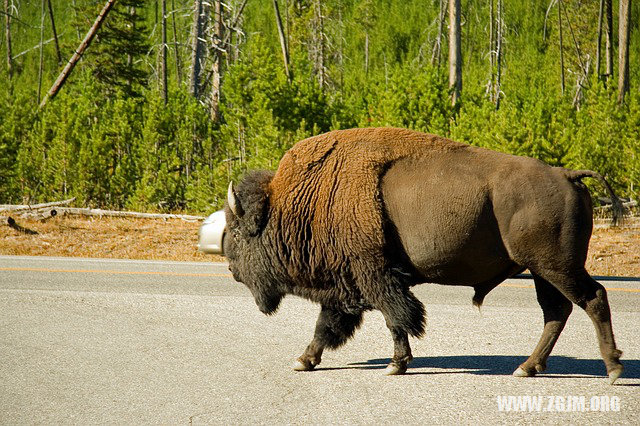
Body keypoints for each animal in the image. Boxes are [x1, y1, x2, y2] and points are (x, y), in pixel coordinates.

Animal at [226, 126, 624, 382]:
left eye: (238, 232)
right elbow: (329, 325)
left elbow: (395, 318)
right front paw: (304, 360)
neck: (305, 199)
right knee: (556, 311)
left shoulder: (373, 275)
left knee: (592, 298)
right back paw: (527, 368)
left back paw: (613, 368)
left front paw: (395, 365)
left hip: (556, 266)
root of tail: (568, 174)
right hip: (542, 270)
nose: (231, 268)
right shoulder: (348, 286)